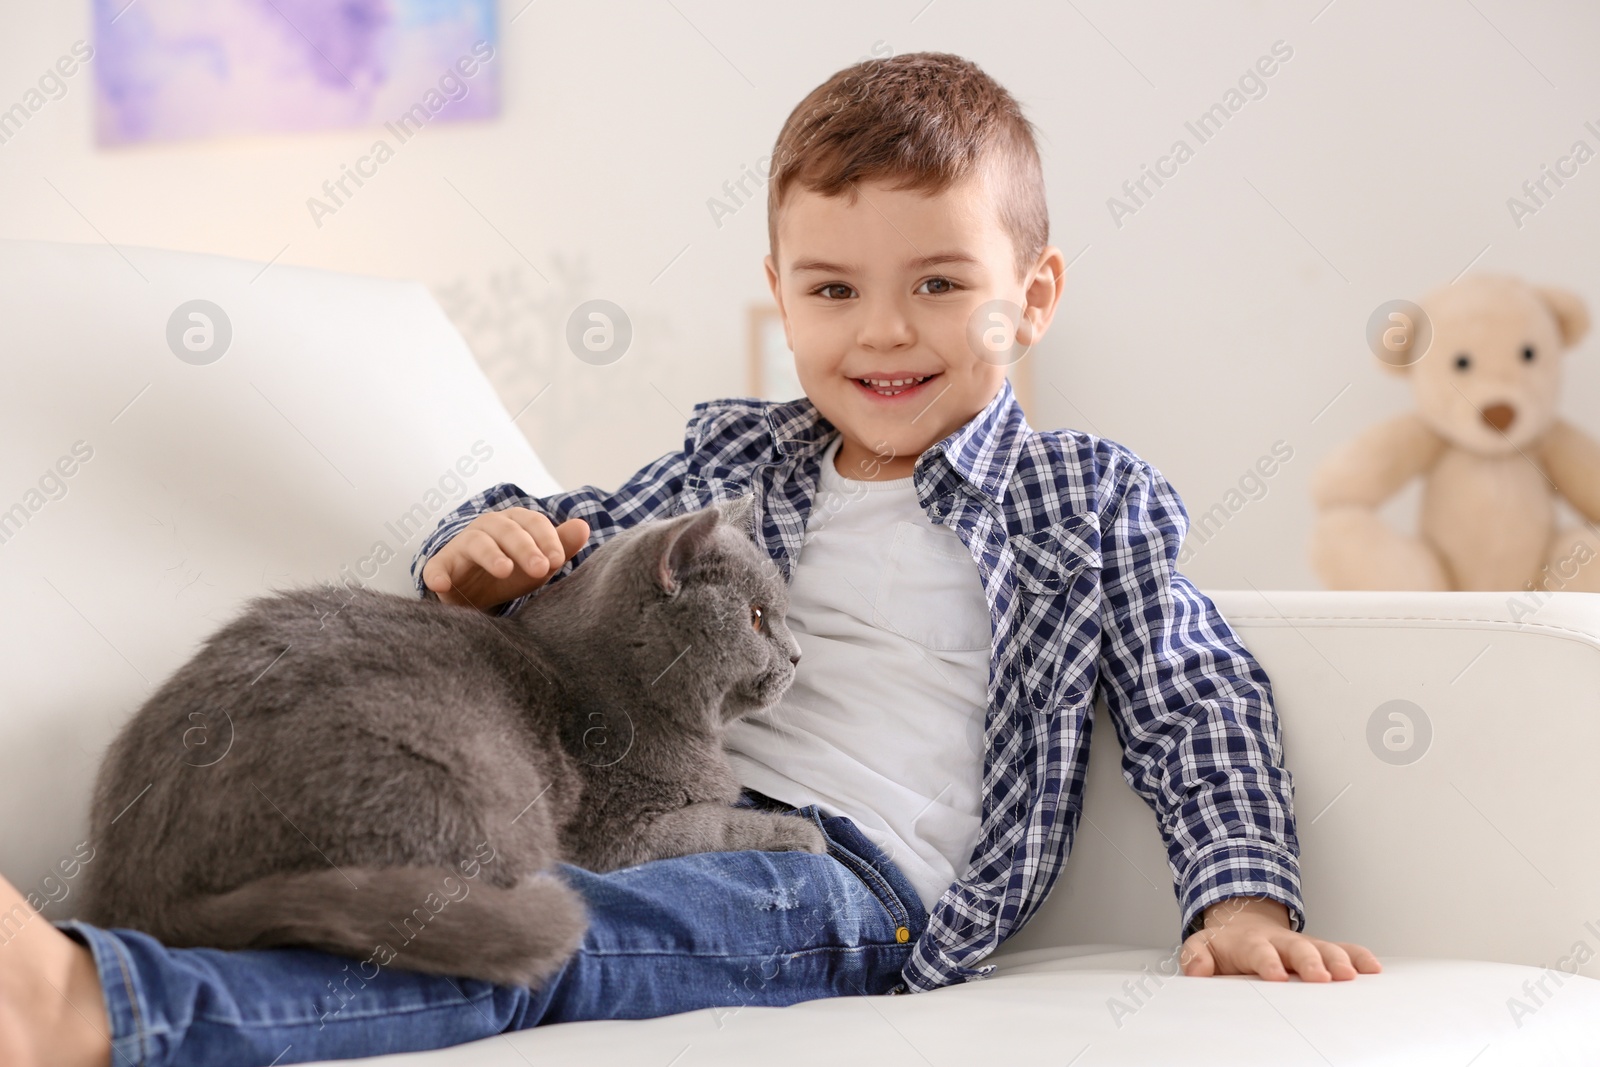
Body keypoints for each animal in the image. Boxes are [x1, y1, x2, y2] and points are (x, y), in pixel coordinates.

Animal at [76, 495, 825, 991]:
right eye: (757, 617)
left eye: (780, 616)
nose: (796, 655)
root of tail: (143, 897)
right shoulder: (619, 834)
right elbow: (722, 823)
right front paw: (802, 834)